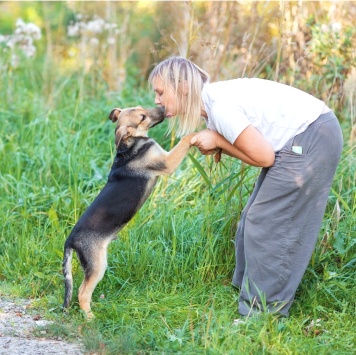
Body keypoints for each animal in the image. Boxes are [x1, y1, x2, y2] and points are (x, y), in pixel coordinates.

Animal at [61, 106, 195, 320]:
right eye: (142, 117)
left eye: (143, 109)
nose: (163, 108)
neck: (129, 146)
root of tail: (70, 239)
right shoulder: (166, 161)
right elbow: (185, 141)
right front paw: (198, 134)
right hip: (97, 264)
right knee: (82, 292)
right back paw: (90, 318)